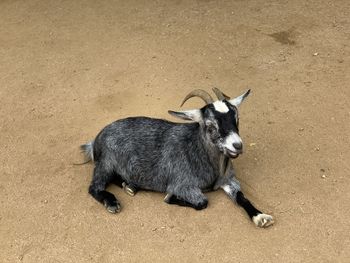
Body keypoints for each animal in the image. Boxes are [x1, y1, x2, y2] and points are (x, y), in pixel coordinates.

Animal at [81, 88, 274, 229]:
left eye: (237, 118)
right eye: (210, 125)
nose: (237, 145)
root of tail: (95, 140)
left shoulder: (228, 180)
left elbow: (242, 197)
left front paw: (261, 217)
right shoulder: (182, 184)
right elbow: (202, 202)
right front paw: (169, 197)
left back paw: (129, 185)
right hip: (106, 163)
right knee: (94, 186)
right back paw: (112, 202)